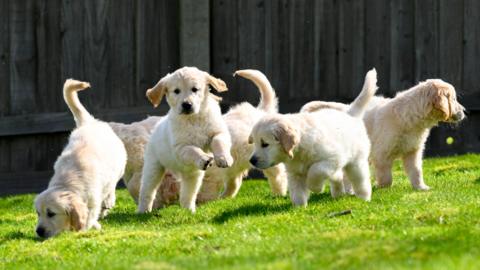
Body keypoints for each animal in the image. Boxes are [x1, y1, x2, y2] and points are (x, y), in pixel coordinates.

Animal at [34, 79, 126, 237]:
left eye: (51, 214)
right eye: (38, 213)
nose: (39, 232)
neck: (67, 182)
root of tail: (89, 123)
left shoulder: (93, 200)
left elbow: (89, 217)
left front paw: (84, 229)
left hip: (119, 165)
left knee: (112, 185)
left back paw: (108, 201)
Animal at [136, 66, 233, 213]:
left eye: (195, 89)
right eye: (177, 91)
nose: (187, 104)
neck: (193, 119)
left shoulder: (218, 132)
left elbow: (218, 142)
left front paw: (223, 158)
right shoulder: (180, 147)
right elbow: (193, 149)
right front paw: (204, 158)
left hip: (193, 174)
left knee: (188, 194)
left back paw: (189, 211)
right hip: (153, 166)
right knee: (147, 190)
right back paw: (143, 211)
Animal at [248, 69, 378, 207]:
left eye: (265, 144)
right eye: (255, 143)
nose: (252, 161)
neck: (299, 150)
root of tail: (350, 114)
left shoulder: (332, 159)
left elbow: (315, 171)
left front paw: (316, 188)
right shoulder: (295, 173)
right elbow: (297, 192)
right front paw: (299, 208)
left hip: (356, 162)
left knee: (361, 180)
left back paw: (364, 198)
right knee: (337, 177)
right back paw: (338, 194)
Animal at [300, 79, 464, 191]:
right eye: (454, 99)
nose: (464, 111)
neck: (410, 116)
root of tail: (347, 109)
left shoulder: (412, 151)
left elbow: (416, 171)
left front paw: (421, 188)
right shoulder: (382, 154)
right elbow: (386, 176)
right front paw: (384, 189)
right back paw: (349, 191)